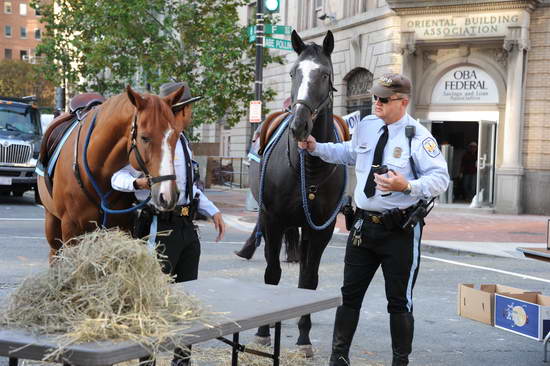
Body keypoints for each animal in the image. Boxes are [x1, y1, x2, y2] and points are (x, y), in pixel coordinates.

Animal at [38, 86, 188, 260]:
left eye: (175, 136)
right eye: (144, 137)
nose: (168, 195)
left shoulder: (122, 226)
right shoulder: (71, 229)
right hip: (52, 221)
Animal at [248, 30, 348, 356]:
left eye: (325, 74)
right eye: (294, 73)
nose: (299, 125)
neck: (310, 169)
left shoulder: (321, 229)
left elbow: (309, 280)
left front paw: (304, 338)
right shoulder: (272, 220)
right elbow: (271, 275)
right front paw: (263, 333)